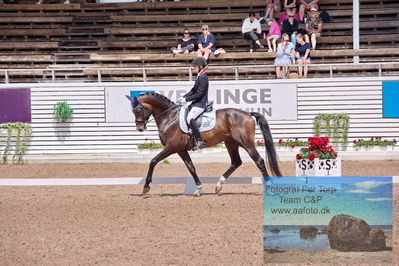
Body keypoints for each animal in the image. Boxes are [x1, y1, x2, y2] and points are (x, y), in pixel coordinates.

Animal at [126, 92, 282, 195]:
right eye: (132, 110)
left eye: (139, 109)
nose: (140, 128)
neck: (169, 118)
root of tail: (248, 114)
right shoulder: (181, 150)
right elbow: (191, 168)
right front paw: (199, 188)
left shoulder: (171, 147)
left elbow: (153, 161)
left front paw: (146, 187)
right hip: (230, 143)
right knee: (236, 162)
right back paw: (218, 186)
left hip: (246, 143)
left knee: (259, 161)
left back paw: (269, 188)